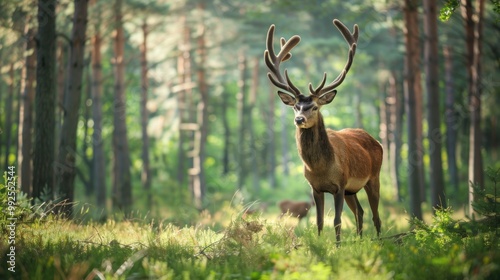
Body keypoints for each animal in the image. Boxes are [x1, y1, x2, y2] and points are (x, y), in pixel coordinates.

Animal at [266, 20, 382, 243]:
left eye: (314, 107)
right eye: (296, 106)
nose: (299, 119)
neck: (321, 168)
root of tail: (376, 140)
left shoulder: (340, 185)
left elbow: (336, 221)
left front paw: (337, 247)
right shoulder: (316, 189)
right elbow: (319, 222)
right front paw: (320, 245)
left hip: (373, 177)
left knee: (376, 216)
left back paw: (380, 243)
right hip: (352, 191)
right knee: (360, 212)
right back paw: (360, 240)